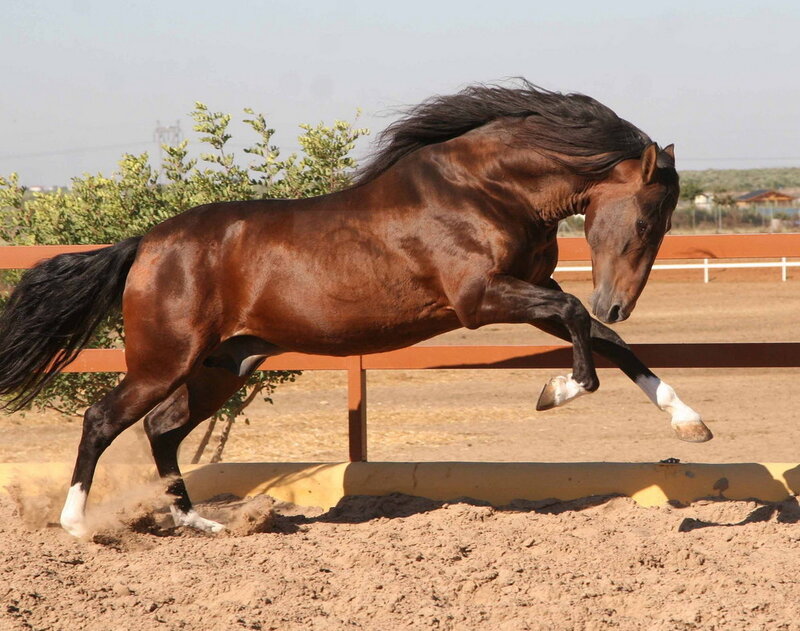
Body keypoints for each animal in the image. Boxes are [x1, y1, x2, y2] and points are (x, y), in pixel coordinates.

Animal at [0, 80, 711, 538]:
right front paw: (555, 391)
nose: (619, 302)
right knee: (103, 418)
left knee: (162, 428)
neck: (485, 189)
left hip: (222, 365)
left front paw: (690, 423)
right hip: (164, 360)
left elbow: (601, 338)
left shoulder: (522, 293)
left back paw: (200, 522)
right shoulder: (481, 297)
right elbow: (577, 321)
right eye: (646, 220)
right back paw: (77, 525)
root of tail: (146, 243)